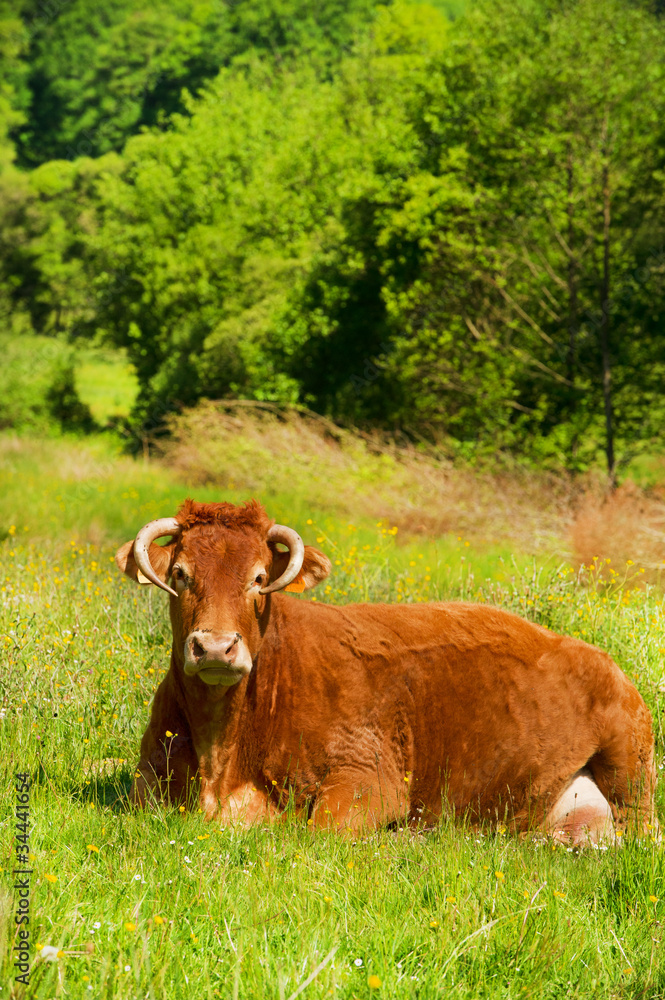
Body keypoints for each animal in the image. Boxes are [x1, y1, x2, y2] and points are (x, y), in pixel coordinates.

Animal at [114, 496, 652, 840]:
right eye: (180, 574)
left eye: (259, 578)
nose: (216, 647)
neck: (221, 758)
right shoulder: (146, 782)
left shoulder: (371, 779)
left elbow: (317, 831)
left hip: (630, 765)